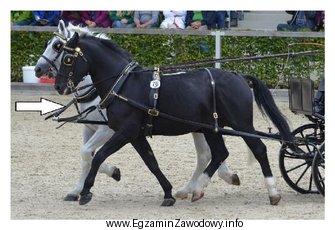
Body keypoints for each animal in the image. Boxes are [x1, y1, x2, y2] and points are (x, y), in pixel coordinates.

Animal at [55, 31, 294, 207]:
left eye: (67, 58)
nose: (58, 86)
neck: (124, 85)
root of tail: (239, 76)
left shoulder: (124, 131)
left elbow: (98, 156)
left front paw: (86, 191)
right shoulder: (136, 135)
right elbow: (151, 162)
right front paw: (168, 193)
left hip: (241, 124)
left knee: (259, 149)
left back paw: (273, 193)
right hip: (210, 128)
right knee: (219, 153)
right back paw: (197, 189)